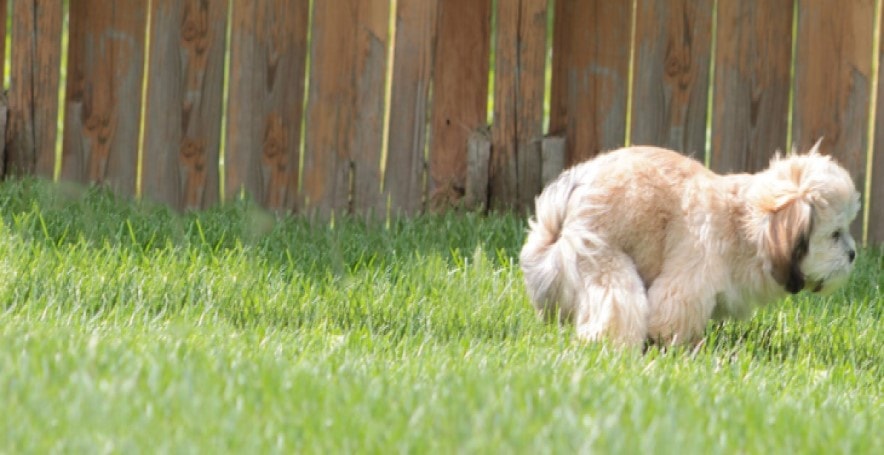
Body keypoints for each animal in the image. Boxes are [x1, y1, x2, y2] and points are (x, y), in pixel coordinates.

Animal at [520, 144, 860, 348]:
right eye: (835, 234)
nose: (853, 254)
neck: (742, 226)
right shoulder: (692, 276)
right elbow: (670, 315)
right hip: (604, 257)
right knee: (615, 303)